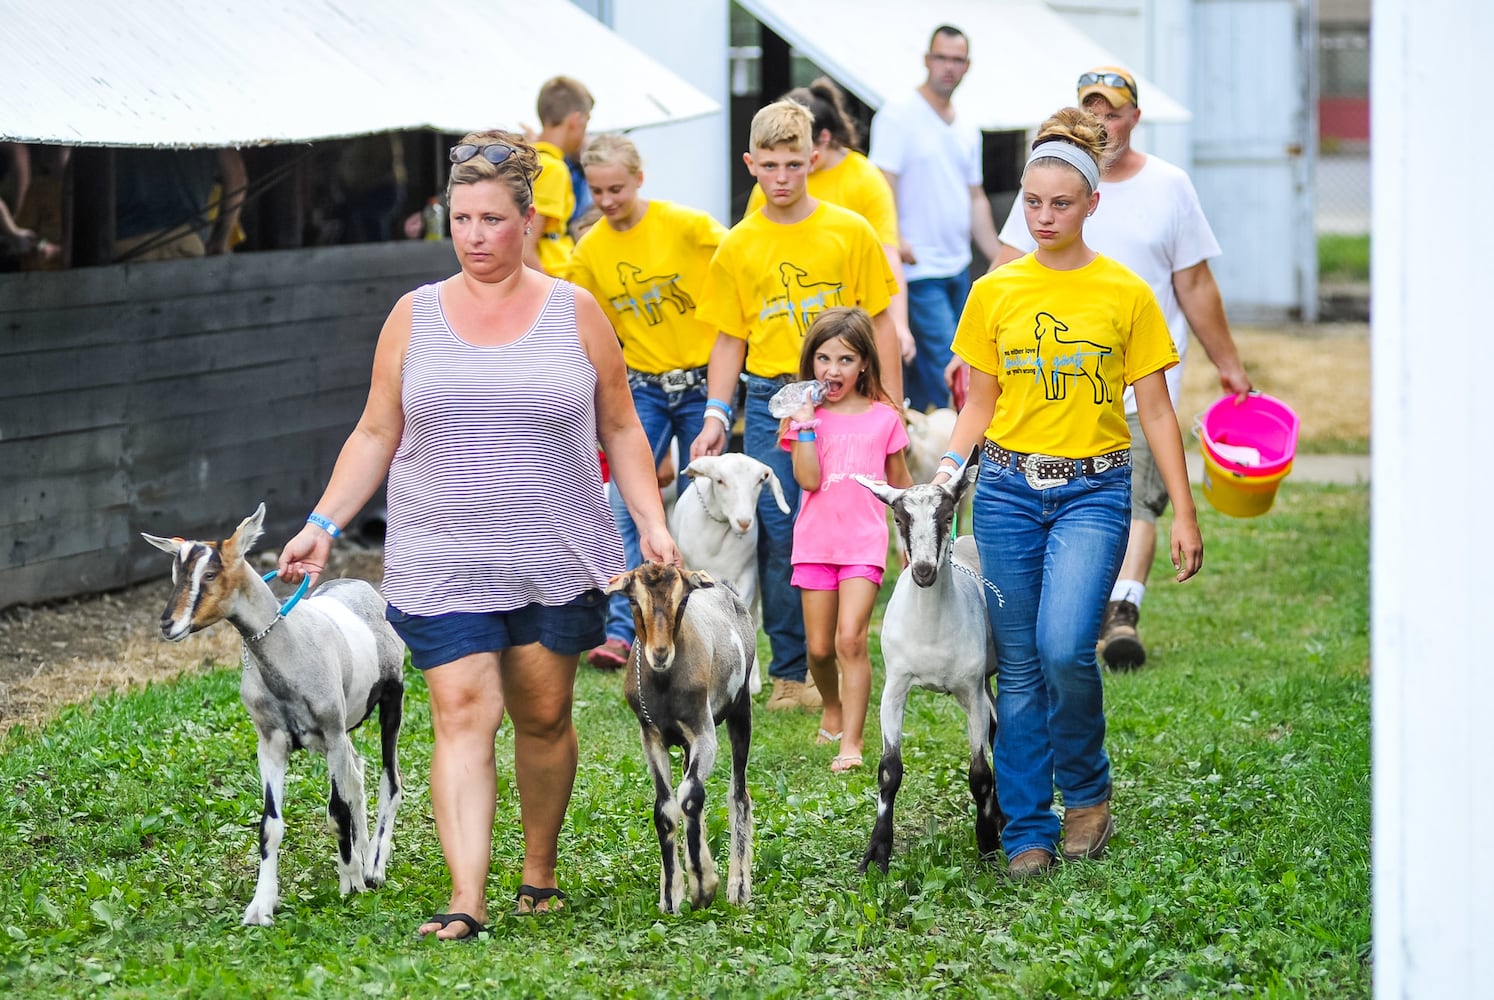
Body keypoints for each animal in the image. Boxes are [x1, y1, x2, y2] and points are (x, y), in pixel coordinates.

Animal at [140, 502, 406, 926]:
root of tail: (363, 587)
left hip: (390, 701)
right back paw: (364, 855)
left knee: (389, 780)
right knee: (357, 773)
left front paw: (350, 883)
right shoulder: (271, 742)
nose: (168, 624)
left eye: (210, 573)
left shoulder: (331, 733)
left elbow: (336, 811)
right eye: (176, 575)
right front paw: (261, 906)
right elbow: (270, 825)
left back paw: (374, 867)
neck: (290, 646)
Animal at [600, 562, 752, 914]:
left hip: (741, 707)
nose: (659, 654)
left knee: (738, 792)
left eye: (682, 601)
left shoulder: (703, 731)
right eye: (633, 601)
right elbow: (665, 809)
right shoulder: (651, 737)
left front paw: (703, 886)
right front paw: (670, 894)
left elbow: (691, 796)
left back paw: (738, 888)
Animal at [854, 460, 1003, 872]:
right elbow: (889, 769)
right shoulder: (894, 687)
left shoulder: (969, 691)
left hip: (986, 678)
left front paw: (987, 845)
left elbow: (979, 772)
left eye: (947, 515)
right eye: (899, 518)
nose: (922, 570)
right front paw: (876, 853)